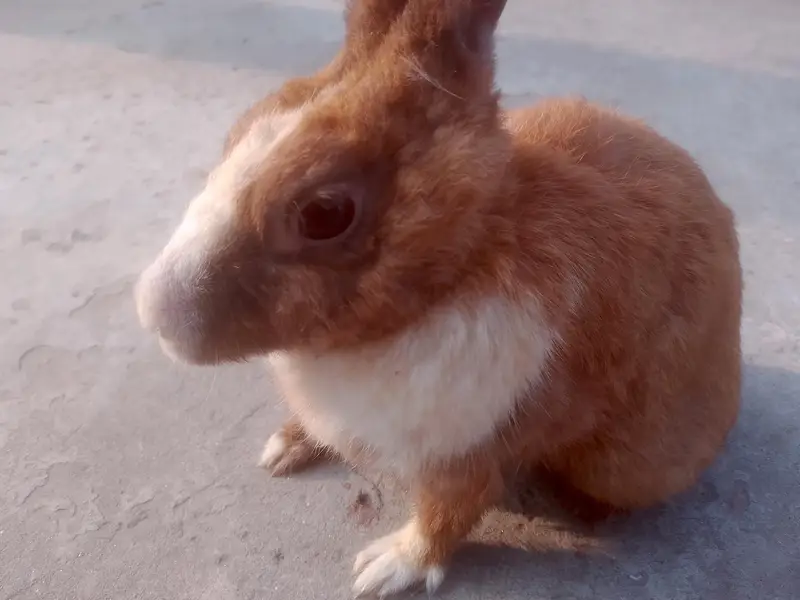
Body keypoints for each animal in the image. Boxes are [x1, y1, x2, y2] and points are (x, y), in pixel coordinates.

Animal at [135, 0, 743, 596]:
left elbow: (445, 517)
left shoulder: (470, 455)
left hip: (627, 466)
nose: (153, 312)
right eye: (237, 131)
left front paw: (382, 570)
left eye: (325, 213)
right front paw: (284, 448)